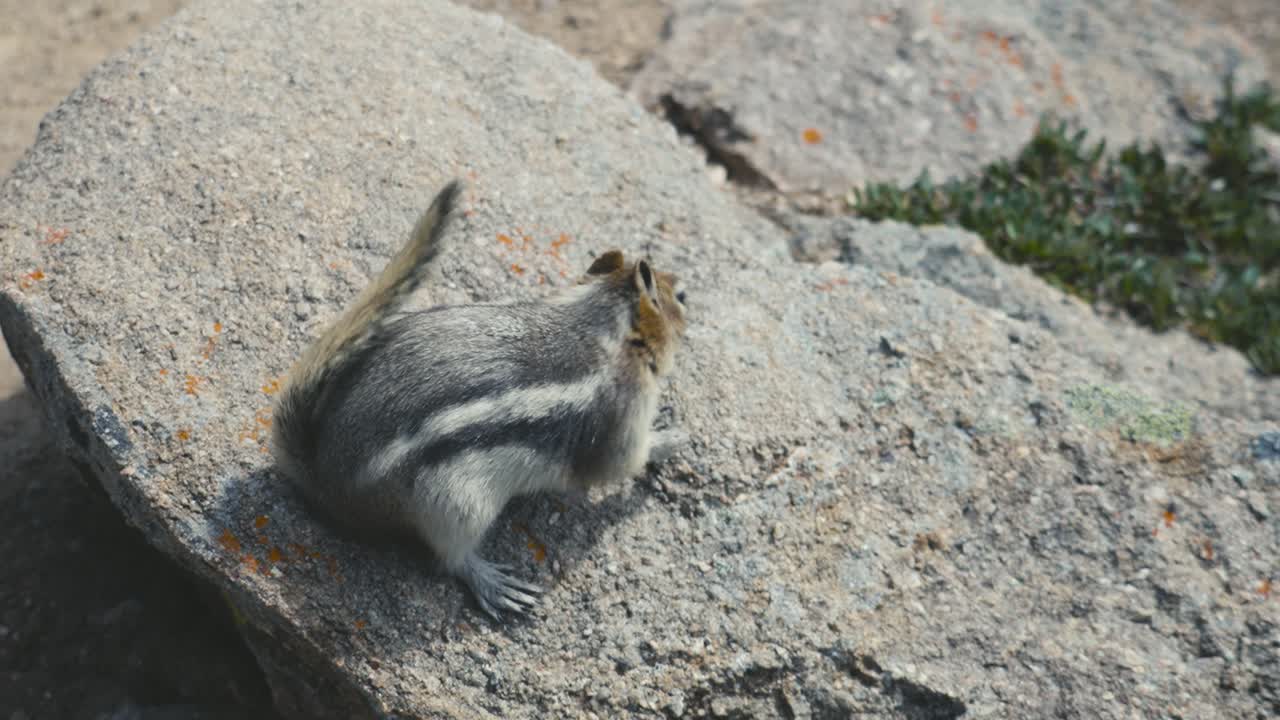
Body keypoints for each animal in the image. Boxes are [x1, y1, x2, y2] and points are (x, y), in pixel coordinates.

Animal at [270, 179, 689, 620]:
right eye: (682, 296)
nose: (683, 284)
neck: (600, 322)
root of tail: (326, 479)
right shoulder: (622, 416)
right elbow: (626, 462)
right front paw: (672, 438)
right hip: (456, 504)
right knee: (447, 557)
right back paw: (491, 582)